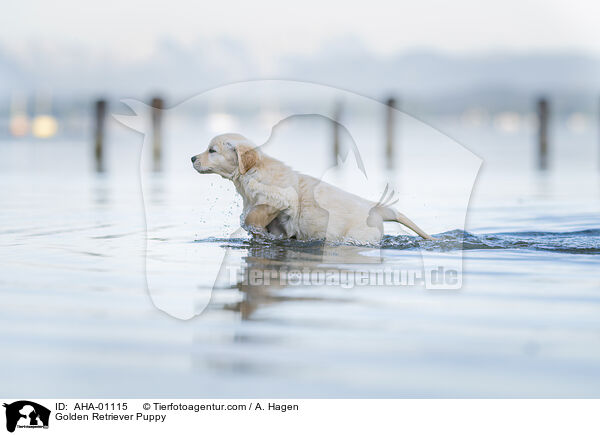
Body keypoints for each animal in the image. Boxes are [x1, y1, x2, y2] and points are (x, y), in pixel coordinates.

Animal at [190, 133, 434, 244]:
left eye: (212, 150)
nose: (192, 158)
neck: (252, 171)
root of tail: (377, 208)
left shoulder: (282, 198)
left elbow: (250, 217)